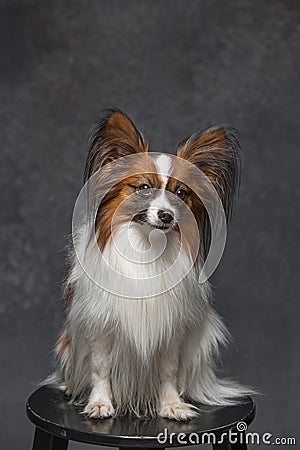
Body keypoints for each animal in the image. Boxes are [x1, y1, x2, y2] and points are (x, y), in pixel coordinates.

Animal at [47, 109, 253, 422]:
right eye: (143, 188)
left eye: (181, 193)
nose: (167, 215)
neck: (147, 246)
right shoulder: (101, 324)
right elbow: (100, 367)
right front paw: (100, 403)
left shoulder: (170, 329)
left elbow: (168, 371)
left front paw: (172, 405)